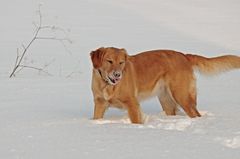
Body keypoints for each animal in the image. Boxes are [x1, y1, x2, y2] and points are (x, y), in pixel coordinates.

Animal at [90, 47, 240, 124]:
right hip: (166, 99)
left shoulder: (132, 103)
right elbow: (97, 117)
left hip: (182, 96)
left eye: (121, 62)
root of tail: (184, 56)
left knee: (196, 114)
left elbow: (136, 121)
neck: (106, 83)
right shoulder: (99, 103)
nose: (117, 75)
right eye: (109, 61)